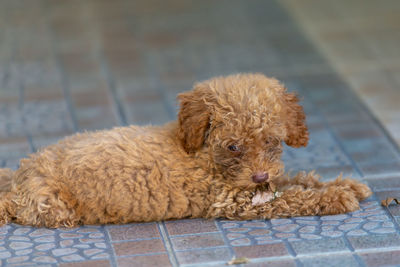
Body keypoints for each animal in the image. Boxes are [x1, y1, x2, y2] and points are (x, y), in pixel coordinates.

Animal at [0, 73, 372, 228]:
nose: (259, 176)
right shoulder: (233, 200)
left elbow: (295, 181)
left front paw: (345, 184)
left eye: (271, 142)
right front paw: (336, 196)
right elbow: (292, 197)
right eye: (233, 146)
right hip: (54, 207)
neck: (204, 154)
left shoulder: (263, 181)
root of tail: (19, 176)